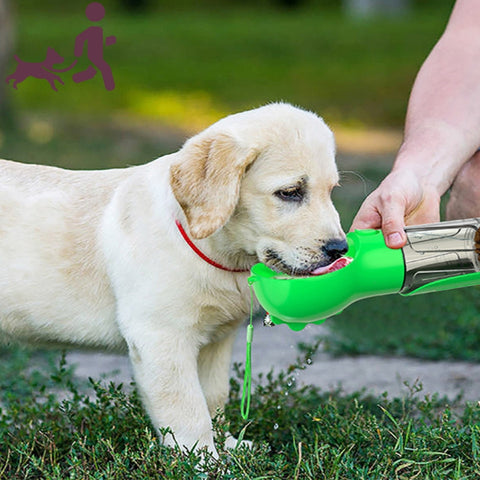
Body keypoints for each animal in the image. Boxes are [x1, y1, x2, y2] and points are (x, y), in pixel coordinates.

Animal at [0, 103, 344, 456]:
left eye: (331, 191)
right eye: (290, 193)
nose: (339, 249)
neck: (214, 251)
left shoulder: (217, 340)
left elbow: (214, 397)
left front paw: (228, 446)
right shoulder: (160, 336)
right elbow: (188, 408)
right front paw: (202, 458)